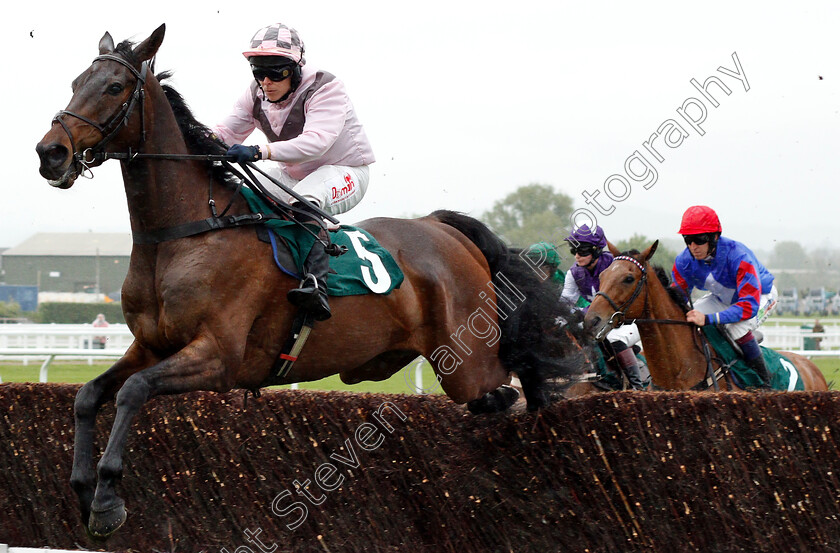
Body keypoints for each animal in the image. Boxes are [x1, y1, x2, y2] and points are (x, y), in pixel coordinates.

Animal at [36, 24, 592, 536]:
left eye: (113, 87)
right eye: (75, 82)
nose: (51, 153)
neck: (186, 231)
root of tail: (443, 228)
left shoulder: (219, 356)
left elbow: (132, 392)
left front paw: (108, 499)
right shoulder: (150, 345)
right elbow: (90, 395)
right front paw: (83, 490)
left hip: (465, 361)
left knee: (510, 387)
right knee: (495, 397)